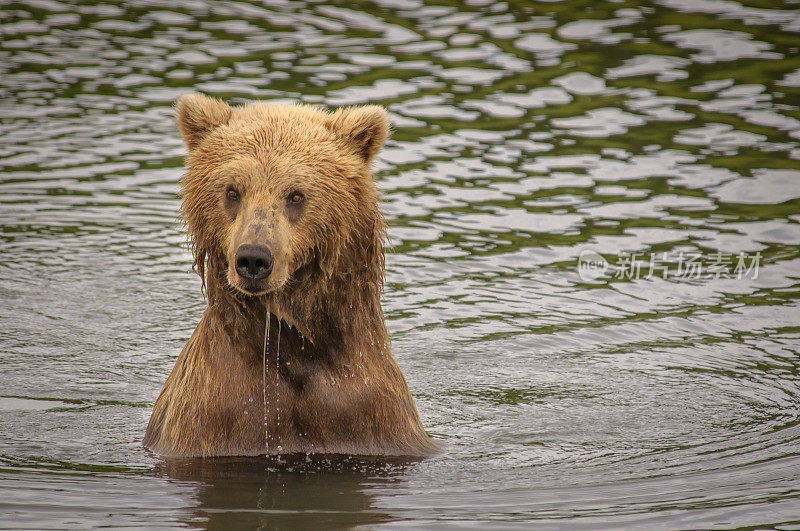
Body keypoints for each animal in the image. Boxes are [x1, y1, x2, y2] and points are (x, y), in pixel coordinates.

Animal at [147, 92, 440, 458]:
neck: (291, 345)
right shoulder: (217, 414)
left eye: (296, 194)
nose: (253, 259)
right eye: (232, 191)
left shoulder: (368, 414)